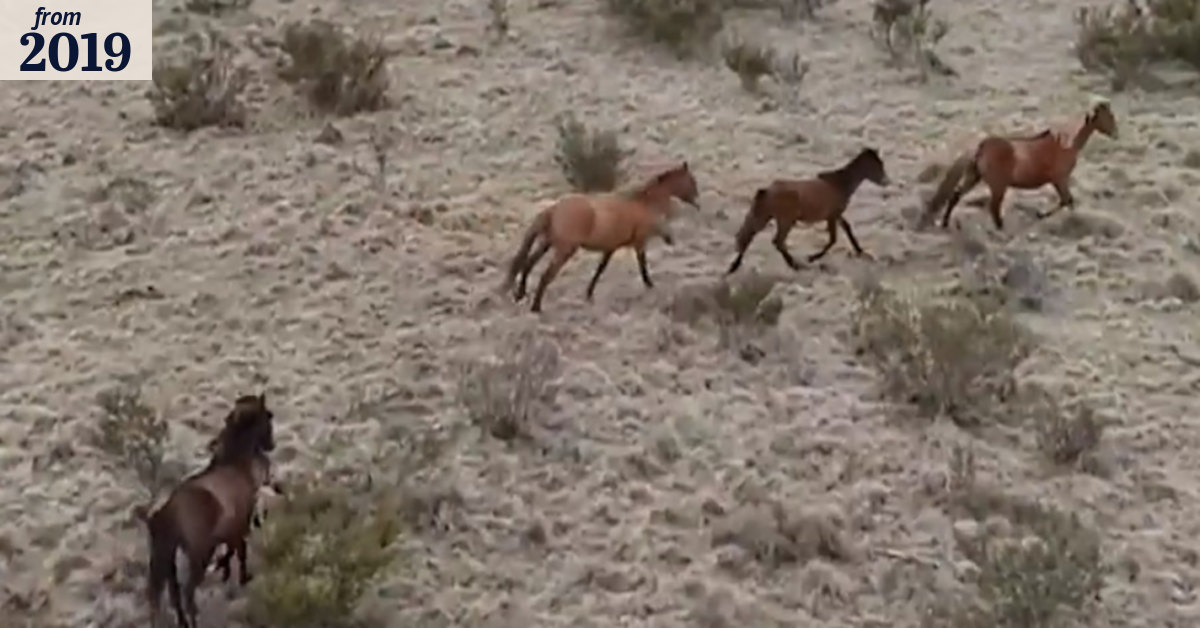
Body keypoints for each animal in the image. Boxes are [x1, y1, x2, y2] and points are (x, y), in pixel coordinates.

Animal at [144, 393, 278, 628]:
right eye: (267, 417)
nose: (271, 445)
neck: (234, 467)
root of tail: (168, 511)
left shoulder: (229, 532)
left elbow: (232, 550)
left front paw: (225, 570)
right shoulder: (239, 525)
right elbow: (240, 551)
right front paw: (241, 576)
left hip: (168, 558)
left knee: (173, 593)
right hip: (198, 555)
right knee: (187, 593)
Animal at [502, 161, 700, 313]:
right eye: (691, 181)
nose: (697, 202)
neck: (643, 204)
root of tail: (554, 208)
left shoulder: (610, 248)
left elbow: (600, 270)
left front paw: (589, 295)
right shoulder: (640, 242)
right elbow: (642, 266)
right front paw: (650, 286)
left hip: (547, 243)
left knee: (528, 264)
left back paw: (520, 295)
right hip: (565, 249)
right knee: (545, 275)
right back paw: (536, 308)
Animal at [726, 147, 891, 274]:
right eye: (876, 165)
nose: (886, 182)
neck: (840, 184)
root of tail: (767, 190)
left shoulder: (837, 215)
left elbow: (847, 229)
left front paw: (860, 250)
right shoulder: (832, 216)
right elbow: (833, 239)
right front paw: (812, 258)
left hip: (765, 216)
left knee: (749, 236)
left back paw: (734, 266)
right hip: (785, 220)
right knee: (777, 241)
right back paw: (794, 265)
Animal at [923, 100, 1118, 231]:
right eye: (1106, 117)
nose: (1116, 133)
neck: (1066, 145)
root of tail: (981, 147)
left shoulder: (1058, 181)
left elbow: (1068, 201)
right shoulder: (1060, 179)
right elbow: (1066, 200)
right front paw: (1042, 214)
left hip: (974, 177)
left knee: (956, 195)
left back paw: (945, 223)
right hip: (998, 186)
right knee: (993, 207)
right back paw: (1001, 230)